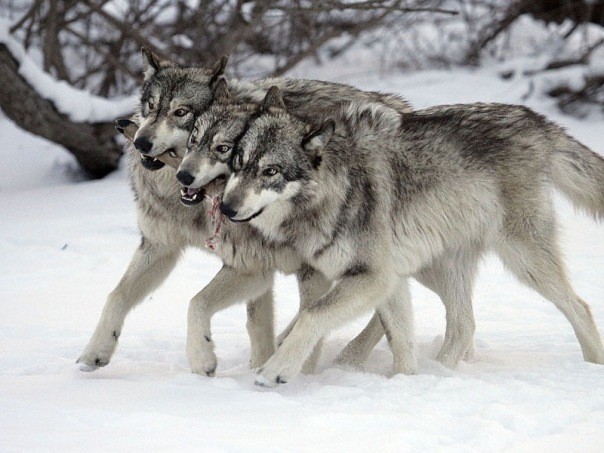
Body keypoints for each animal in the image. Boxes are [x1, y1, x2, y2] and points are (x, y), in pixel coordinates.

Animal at [221, 88, 604, 384]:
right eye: (237, 163)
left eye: (270, 171)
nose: (226, 207)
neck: (337, 188)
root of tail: (534, 119)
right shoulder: (389, 280)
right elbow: (401, 343)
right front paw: (406, 384)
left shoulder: (374, 277)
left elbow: (311, 316)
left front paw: (275, 370)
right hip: (441, 268)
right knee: (463, 324)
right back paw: (441, 373)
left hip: (522, 260)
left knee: (580, 307)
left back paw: (592, 366)